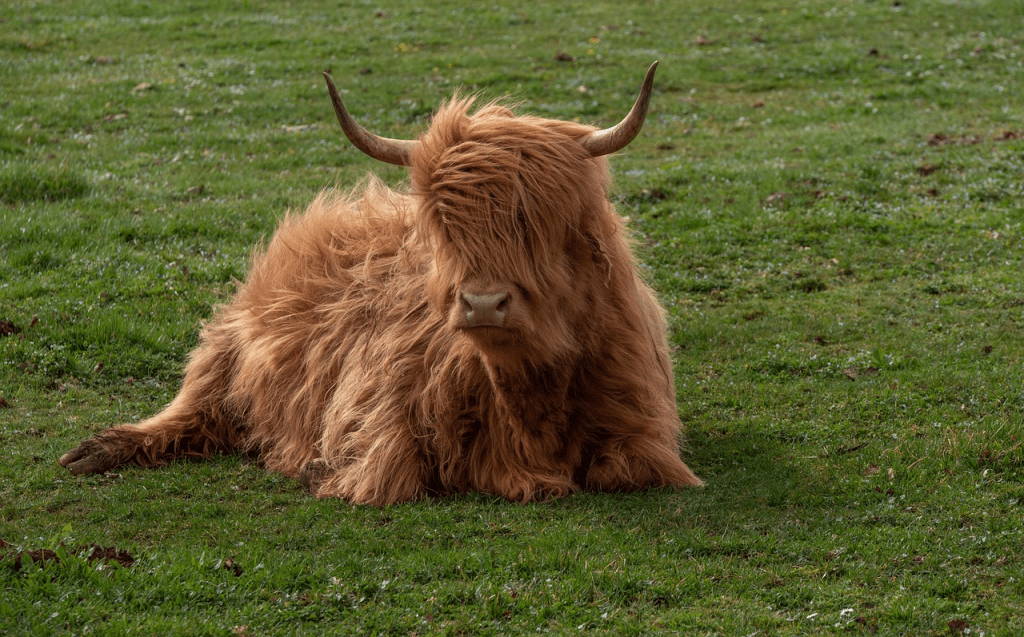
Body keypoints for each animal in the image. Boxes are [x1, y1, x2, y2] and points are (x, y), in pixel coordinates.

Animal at [59, 62, 702, 505]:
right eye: (443, 224)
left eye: (545, 220)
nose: (483, 303)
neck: (527, 398)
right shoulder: (383, 418)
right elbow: (389, 470)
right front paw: (321, 467)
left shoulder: (644, 435)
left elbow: (626, 467)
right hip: (223, 346)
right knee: (187, 410)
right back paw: (96, 450)